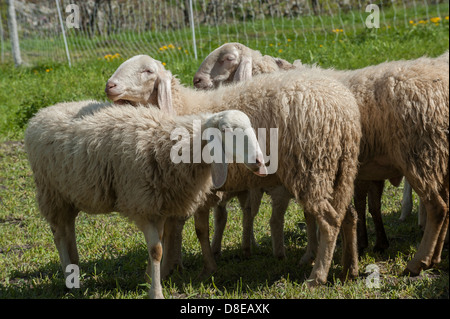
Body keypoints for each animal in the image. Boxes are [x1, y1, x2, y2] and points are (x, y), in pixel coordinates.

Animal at [24, 100, 268, 300]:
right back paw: (70, 280)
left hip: (69, 195)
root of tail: (40, 114)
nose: (259, 162)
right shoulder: (143, 205)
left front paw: (150, 278)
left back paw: (75, 271)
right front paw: (156, 292)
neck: (173, 146)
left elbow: (161, 243)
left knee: (69, 230)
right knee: (58, 234)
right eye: (226, 130)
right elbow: (157, 250)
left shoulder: (159, 205)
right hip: (52, 193)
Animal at [105, 53, 362, 286]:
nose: (110, 86)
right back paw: (349, 269)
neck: (182, 107)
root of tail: (346, 110)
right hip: (340, 169)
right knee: (347, 214)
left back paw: (317, 276)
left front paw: (172, 269)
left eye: (148, 71)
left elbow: (181, 228)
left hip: (312, 167)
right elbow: (185, 228)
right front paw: (177, 266)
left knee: (329, 221)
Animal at [194, 43, 450, 278]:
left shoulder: (312, 167)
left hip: (420, 153)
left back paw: (418, 262)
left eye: (228, 58)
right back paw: (435, 257)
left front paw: (313, 256)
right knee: (445, 207)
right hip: (437, 157)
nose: (196, 80)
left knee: (436, 207)